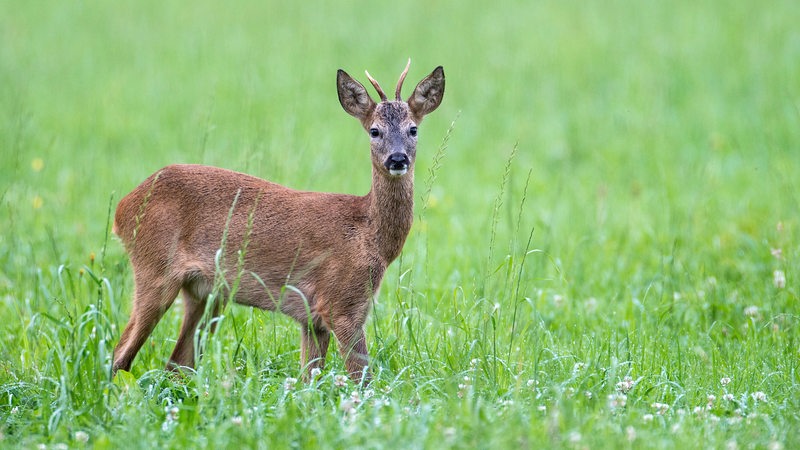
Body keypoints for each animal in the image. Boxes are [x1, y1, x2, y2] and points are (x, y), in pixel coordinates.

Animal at [111, 60, 444, 384]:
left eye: (413, 129)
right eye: (374, 131)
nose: (397, 159)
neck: (369, 234)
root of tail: (122, 208)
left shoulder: (313, 318)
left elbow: (310, 380)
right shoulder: (341, 302)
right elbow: (363, 380)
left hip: (203, 292)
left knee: (177, 364)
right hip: (154, 269)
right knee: (120, 354)